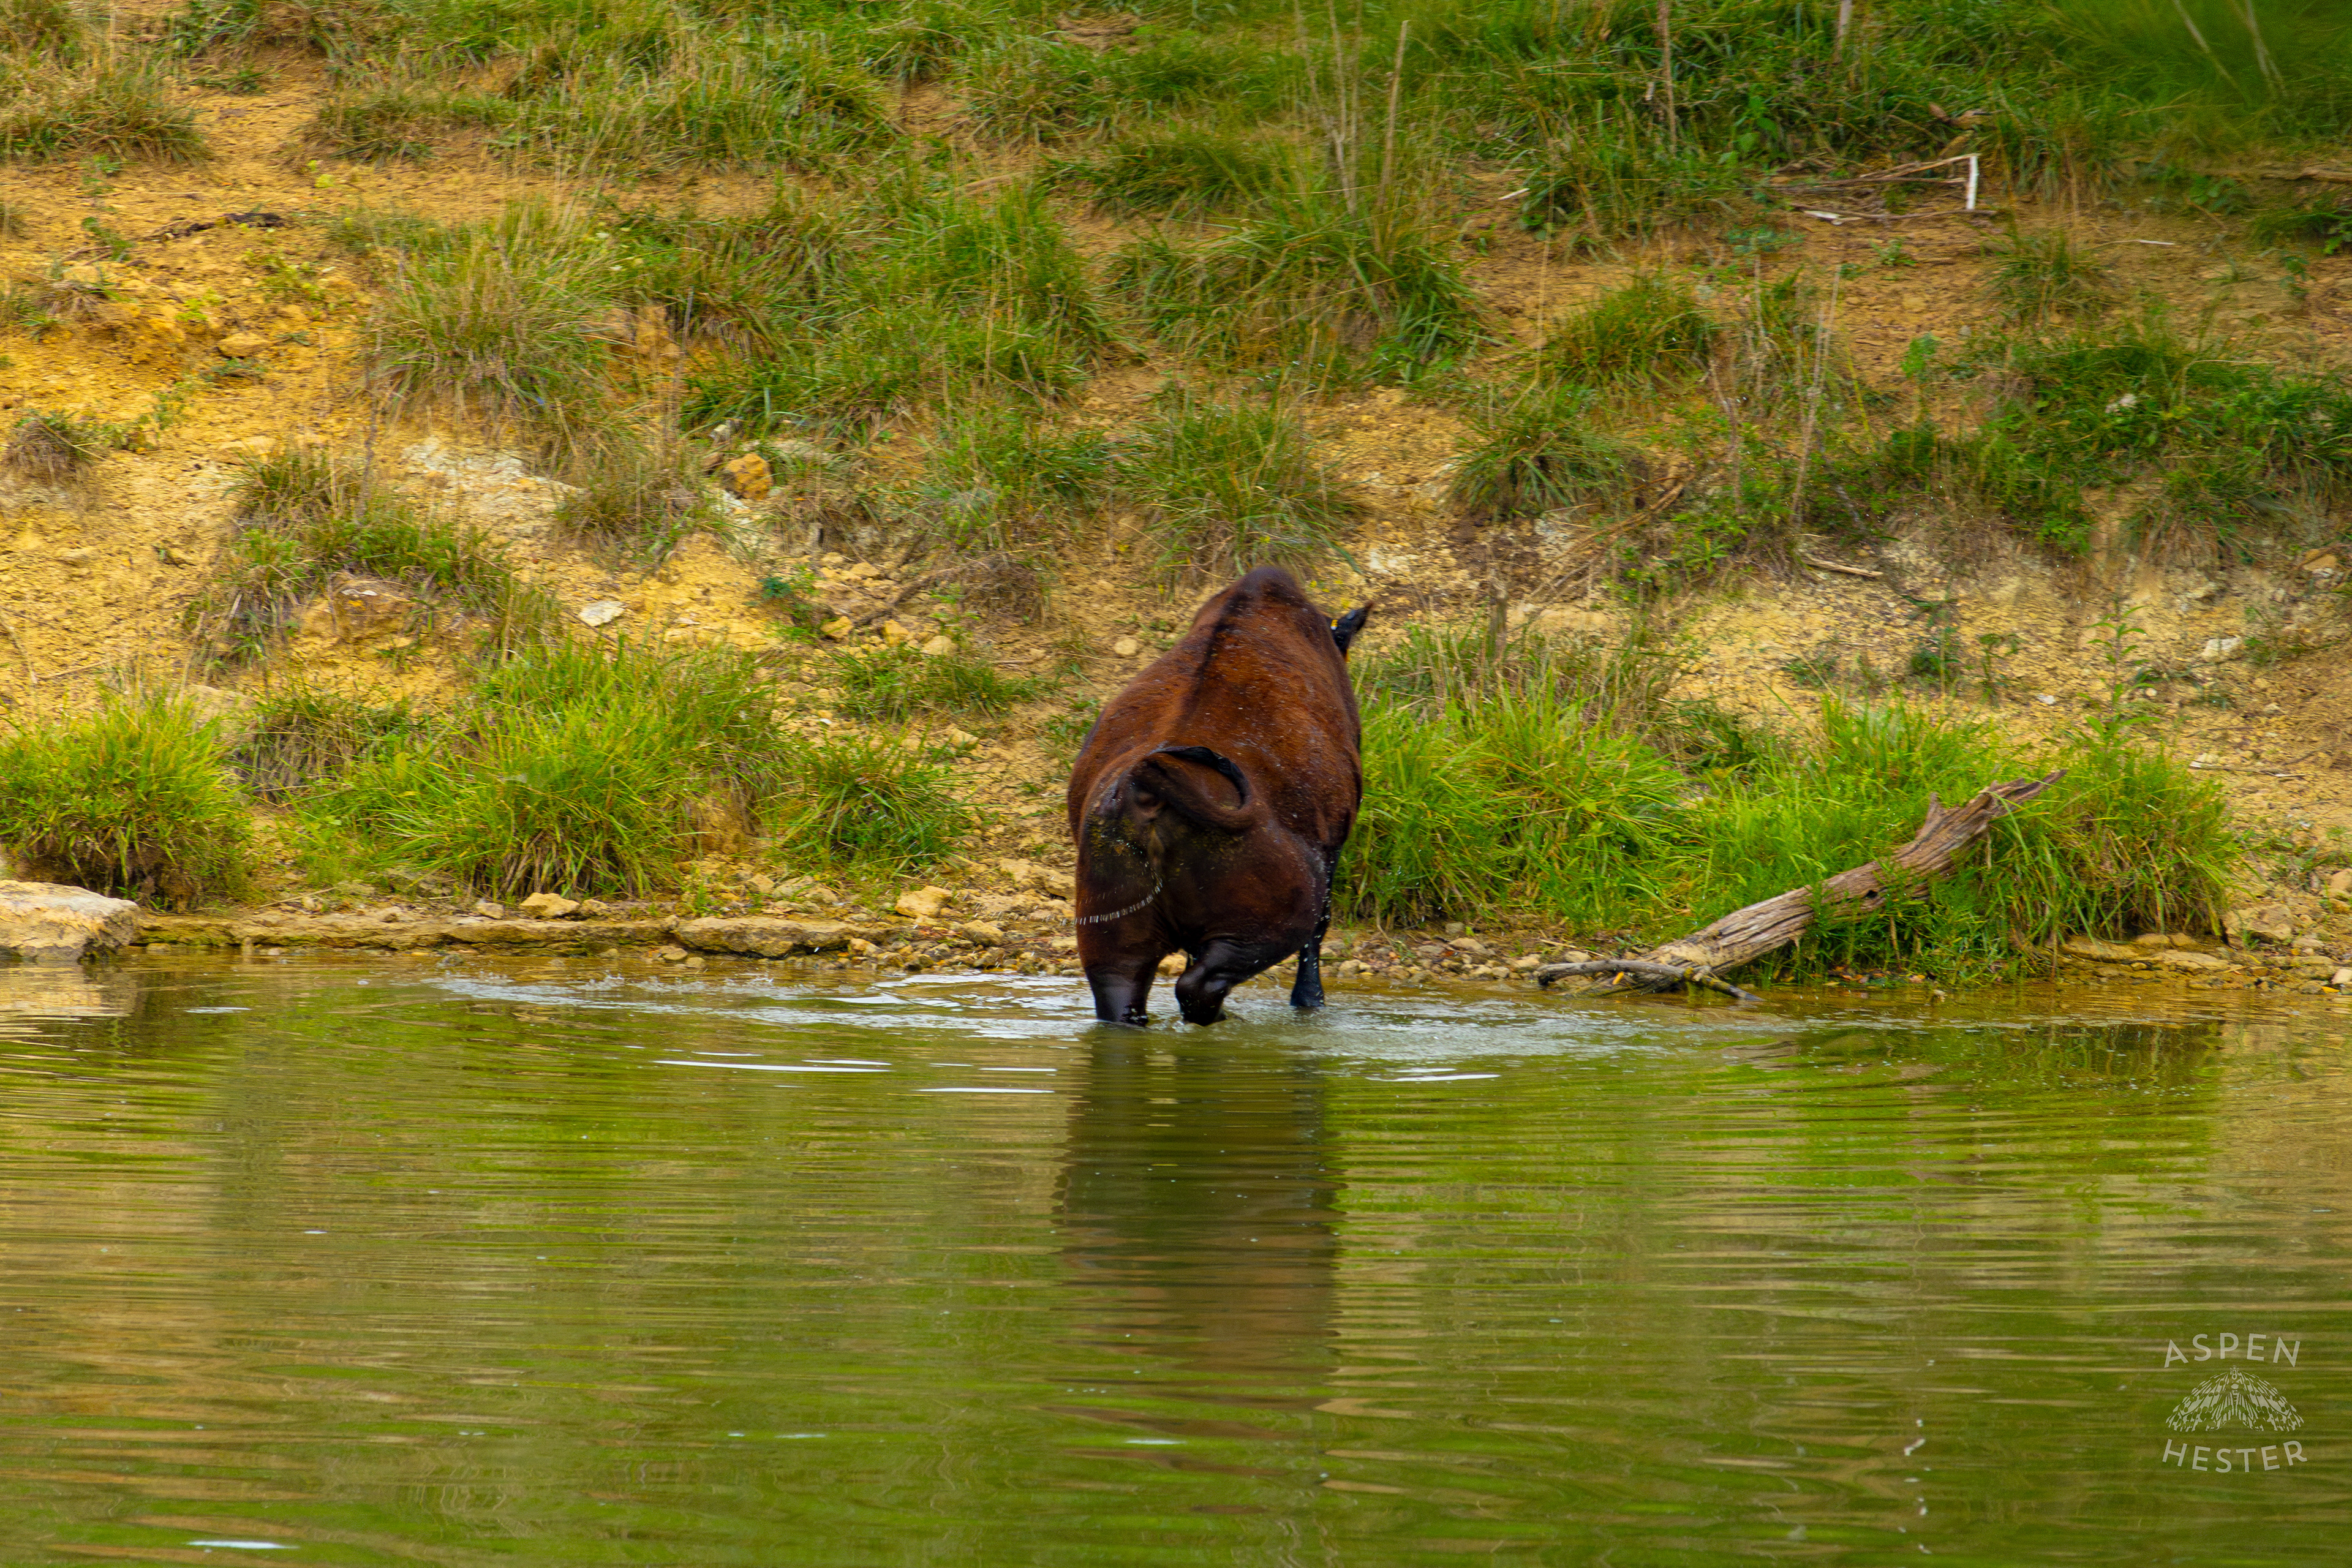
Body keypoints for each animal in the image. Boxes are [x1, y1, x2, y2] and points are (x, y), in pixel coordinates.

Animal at [1066, 566, 1369, 1026]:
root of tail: (1144, 786)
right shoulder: (1333, 845)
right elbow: (1319, 934)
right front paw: (1310, 1001)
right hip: (1272, 918)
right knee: (1200, 985)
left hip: (1113, 944)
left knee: (1125, 995)